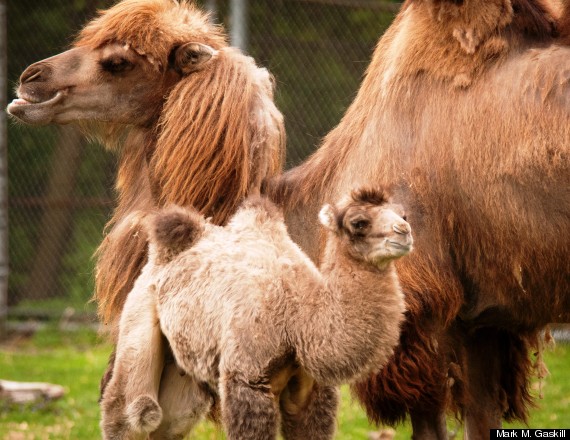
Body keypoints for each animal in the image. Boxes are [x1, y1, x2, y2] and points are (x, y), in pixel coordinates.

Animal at [102, 187, 410, 438]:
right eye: (359, 222)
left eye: (403, 213)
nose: (404, 231)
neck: (298, 321)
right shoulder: (246, 379)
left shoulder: (311, 389)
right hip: (139, 317)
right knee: (133, 410)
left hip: (182, 367)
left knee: (171, 421)